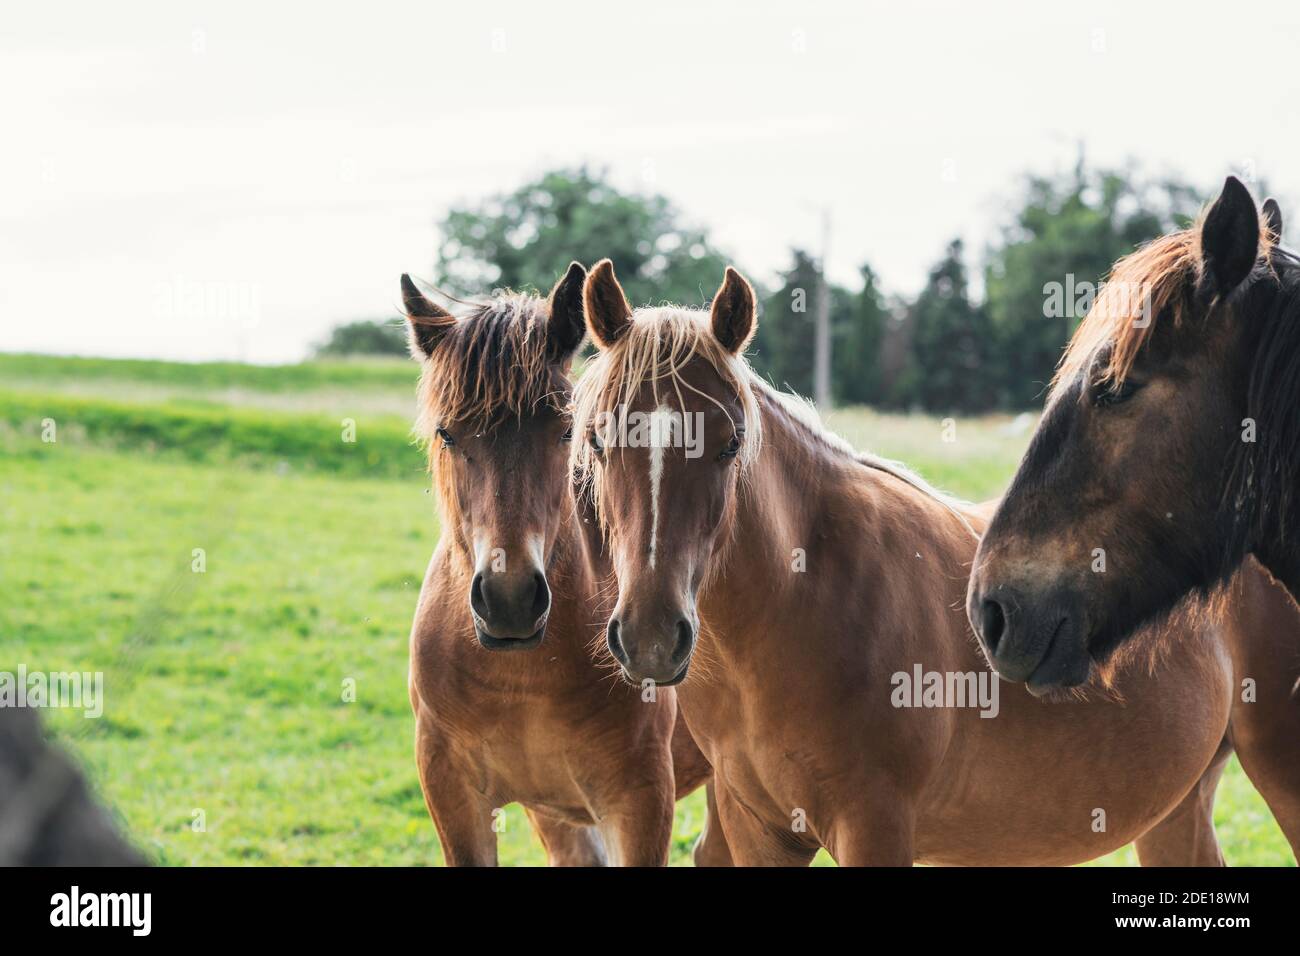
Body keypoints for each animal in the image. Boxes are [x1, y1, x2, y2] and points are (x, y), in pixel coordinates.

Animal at [401, 266, 723, 865]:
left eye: (567, 430)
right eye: (447, 433)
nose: (508, 600)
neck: (521, 681)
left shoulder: (639, 802)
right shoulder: (455, 796)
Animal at [570, 258, 1300, 865]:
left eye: (730, 443)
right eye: (599, 440)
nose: (652, 636)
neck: (806, 600)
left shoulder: (875, 829)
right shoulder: (760, 833)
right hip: (1178, 806)